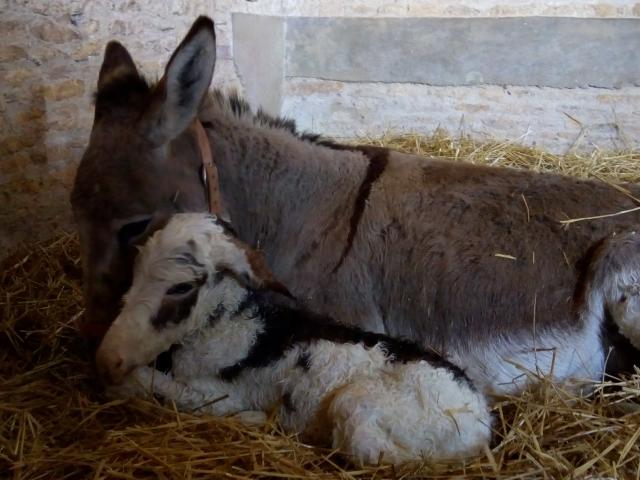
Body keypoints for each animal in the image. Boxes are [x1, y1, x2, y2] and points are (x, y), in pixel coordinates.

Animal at [97, 214, 492, 464]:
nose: (107, 359)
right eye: (135, 273)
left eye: (181, 287)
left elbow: (141, 383)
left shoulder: (216, 394)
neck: (229, 326)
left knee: (374, 453)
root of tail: (481, 420)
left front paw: (255, 418)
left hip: (362, 403)